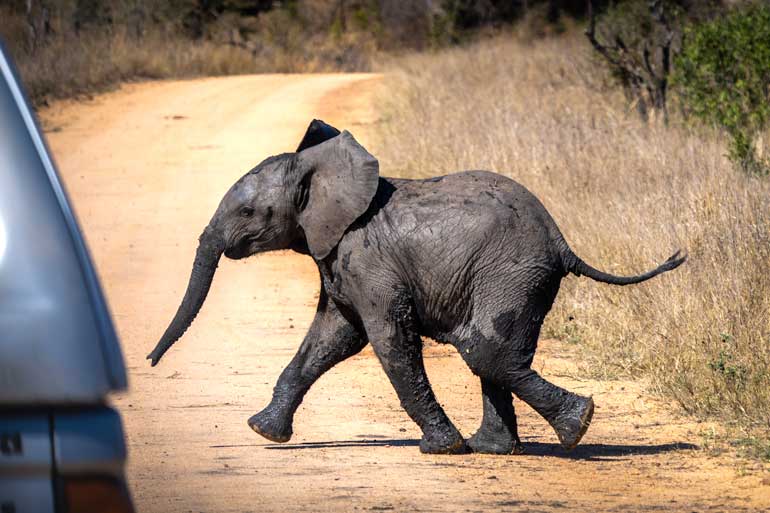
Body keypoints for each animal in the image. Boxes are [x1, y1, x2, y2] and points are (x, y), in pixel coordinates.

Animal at [147, 119, 680, 452]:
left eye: (247, 212)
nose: (149, 362)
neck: (324, 172)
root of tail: (561, 240)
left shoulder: (368, 261)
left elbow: (388, 340)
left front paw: (442, 448)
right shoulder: (340, 262)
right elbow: (331, 338)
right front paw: (263, 433)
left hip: (510, 272)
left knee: (485, 352)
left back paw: (577, 426)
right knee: (491, 354)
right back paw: (496, 448)